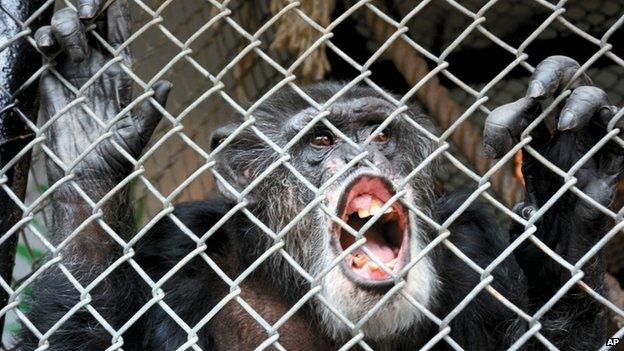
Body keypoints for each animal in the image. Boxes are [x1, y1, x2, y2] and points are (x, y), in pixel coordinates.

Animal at [17, 0, 620, 351]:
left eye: (380, 135)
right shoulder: (174, 252)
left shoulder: (477, 241)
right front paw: (88, 135)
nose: (361, 155)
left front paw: (569, 177)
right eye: (323, 141)